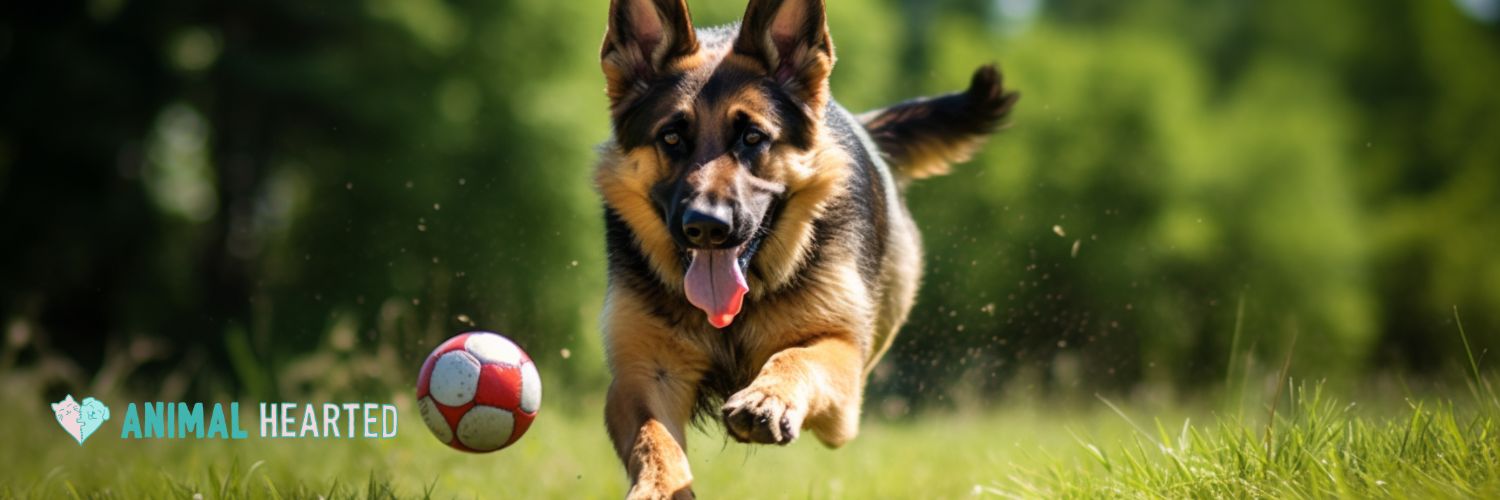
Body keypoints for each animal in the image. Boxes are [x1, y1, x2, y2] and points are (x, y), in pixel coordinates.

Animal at [591, 0, 1014, 492]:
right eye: (672, 138)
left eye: (753, 138)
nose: (706, 227)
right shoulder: (643, 376)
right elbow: (654, 439)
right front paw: (657, 488)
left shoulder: (843, 366)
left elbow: (797, 356)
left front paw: (766, 399)